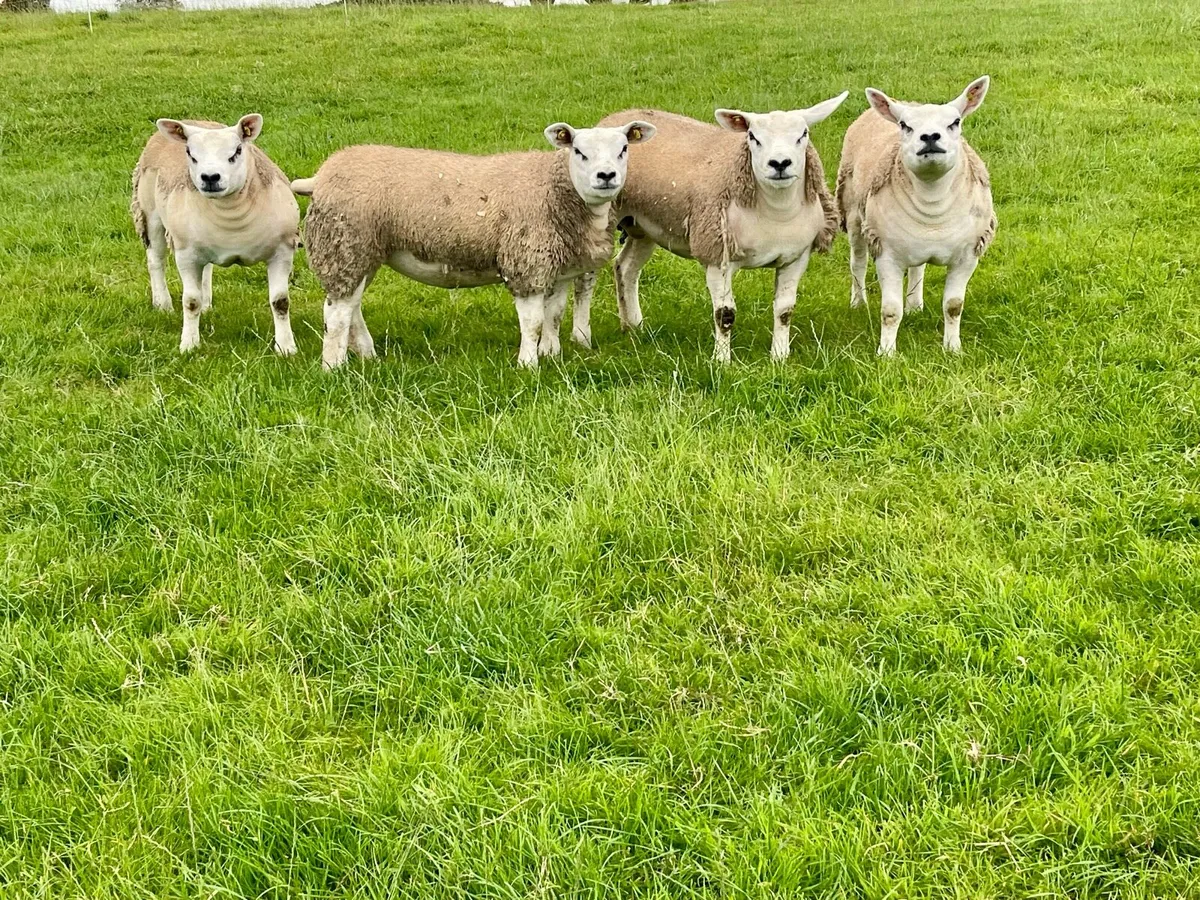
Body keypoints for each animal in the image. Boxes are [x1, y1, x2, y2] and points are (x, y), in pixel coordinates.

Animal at [131, 114, 300, 355]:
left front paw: (285, 347)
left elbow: (280, 302)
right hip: (149, 212)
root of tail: (190, 119)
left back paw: (207, 304)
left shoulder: (282, 251)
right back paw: (162, 304)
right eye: (190, 154)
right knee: (156, 260)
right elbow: (190, 301)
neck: (232, 218)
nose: (210, 177)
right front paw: (189, 345)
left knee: (207, 268)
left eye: (237, 151)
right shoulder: (186, 254)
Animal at [290, 120, 655, 370]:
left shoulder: (556, 266)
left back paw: (367, 355)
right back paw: (334, 366)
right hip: (344, 243)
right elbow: (533, 321)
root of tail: (320, 177)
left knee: (351, 305)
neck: (556, 189)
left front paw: (551, 355)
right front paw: (528, 365)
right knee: (336, 313)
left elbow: (554, 315)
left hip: (360, 250)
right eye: (579, 152)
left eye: (623, 149)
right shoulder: (526, 261)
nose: (606, 176)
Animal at [576, 95, 846, 361]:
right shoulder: (718, 256)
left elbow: (784, 311)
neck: (776, 213)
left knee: (625, 268)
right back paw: (581, 337)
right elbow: (725, 314)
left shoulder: (795, 258)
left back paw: (634, 326)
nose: (780, 163)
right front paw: (721, 361)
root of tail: (613, 119)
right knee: (586, 277)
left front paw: (779, 358)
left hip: (643, 226)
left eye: (803, 134)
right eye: (753, 137)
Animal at [835, 76, 995, 355]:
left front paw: (953, 349)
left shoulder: (967, 255)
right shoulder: (887, 255)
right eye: (904, 125)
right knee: (858, 263)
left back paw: (914, 306)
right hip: (854, 214)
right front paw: (886, 354)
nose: (930, 137)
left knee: (917, 268)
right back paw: (858, 302)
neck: (932, 203)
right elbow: (890, 311)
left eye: (955, 122)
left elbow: (954, 306)